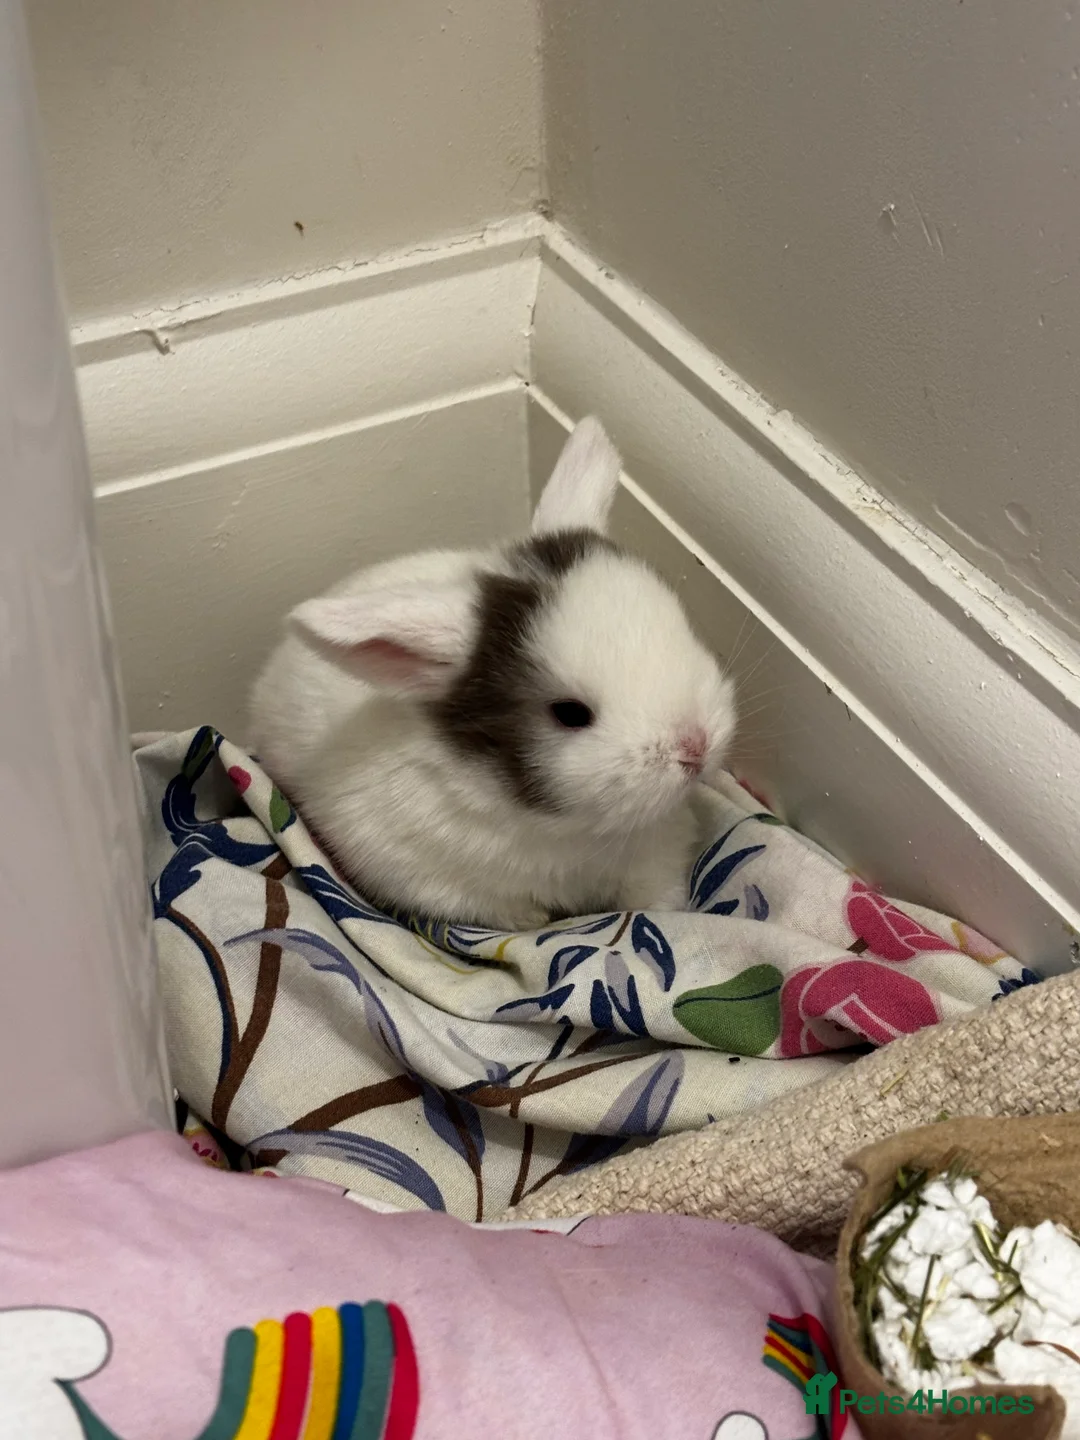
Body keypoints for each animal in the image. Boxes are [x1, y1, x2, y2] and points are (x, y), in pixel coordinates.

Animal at [248, 417, 736, 930]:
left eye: (682, 628)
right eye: (570, 713)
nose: (697, 746)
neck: (565, 828)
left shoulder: (660, 847)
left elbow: (658, 896)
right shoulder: (430, 882)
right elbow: (513, 915)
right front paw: (537, 922)